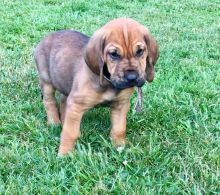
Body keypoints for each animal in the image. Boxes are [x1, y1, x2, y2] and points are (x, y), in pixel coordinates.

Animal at [34, 18, 158, 155]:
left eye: (140, 51)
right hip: (47, 81)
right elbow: (70, 132)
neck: (109, 83)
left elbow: (119, 129)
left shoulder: (121, 105)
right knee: (49, 101)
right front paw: (65, 153)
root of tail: (48, 36)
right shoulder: (76, 104)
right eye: (114, 54)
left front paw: (119, 147)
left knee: (63, 101)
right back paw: (54, 123)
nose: (132, 78)